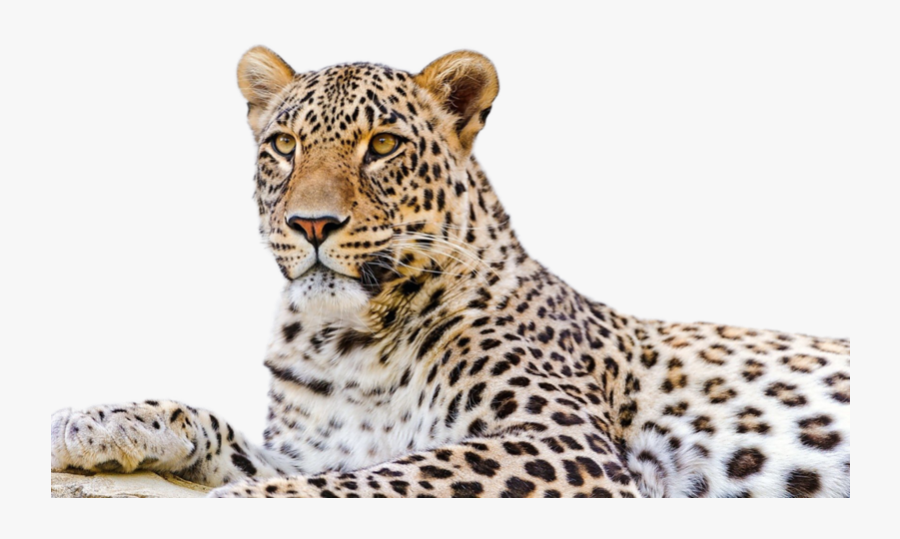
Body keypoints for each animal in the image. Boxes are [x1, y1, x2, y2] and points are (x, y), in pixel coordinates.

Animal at [50, 47, 850, 498]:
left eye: (382, 145)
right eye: (283, 144)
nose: (312, 224)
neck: (344, 344)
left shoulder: (561, 442)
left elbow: (377, 483)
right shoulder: (311, 448)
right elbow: (224, 430)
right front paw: (98, 420)